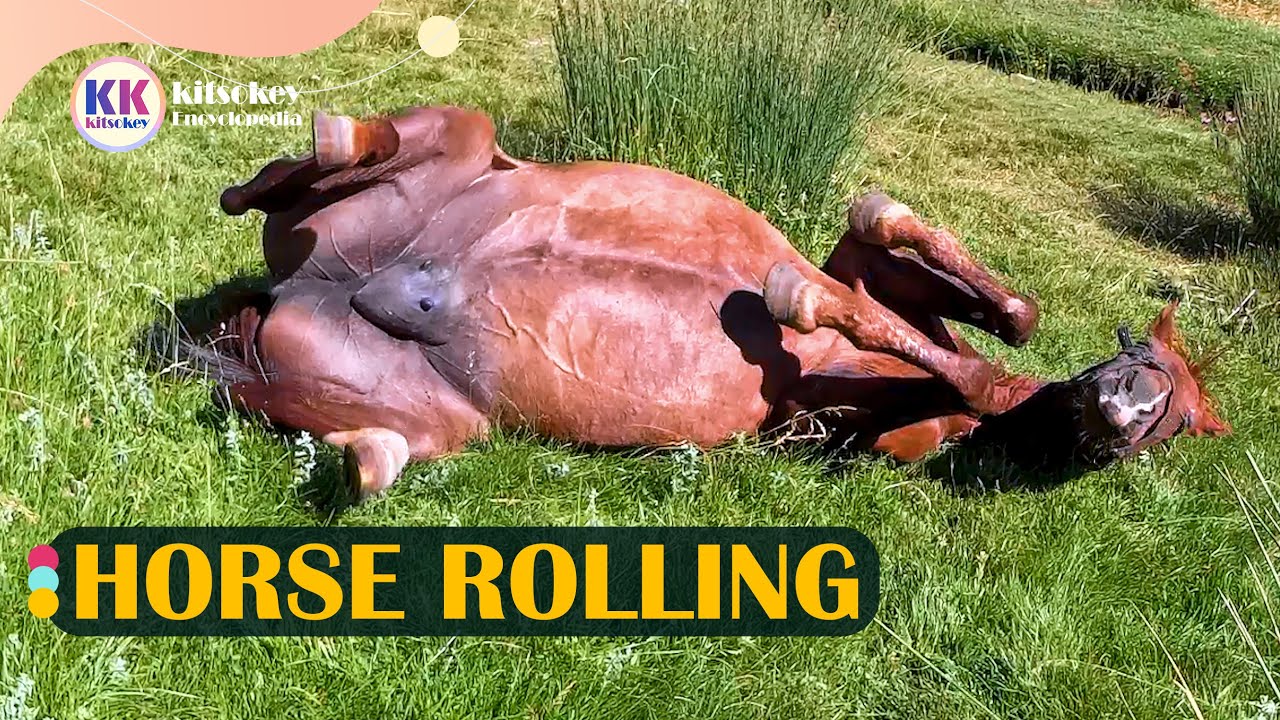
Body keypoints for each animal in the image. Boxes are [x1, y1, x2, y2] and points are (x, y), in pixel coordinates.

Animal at [169, 105, 1228, 497]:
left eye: (1175, 427)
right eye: (1152, 366)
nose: (1122, 410)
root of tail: (296, 287)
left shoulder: (862, 427)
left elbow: (962, 372)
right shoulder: (866, 270)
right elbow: (970, 298)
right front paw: (801, 289)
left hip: (419, 414)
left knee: (366, 444)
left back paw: (363, 460)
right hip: (455, 139)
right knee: (294, 170)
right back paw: (338, 136)